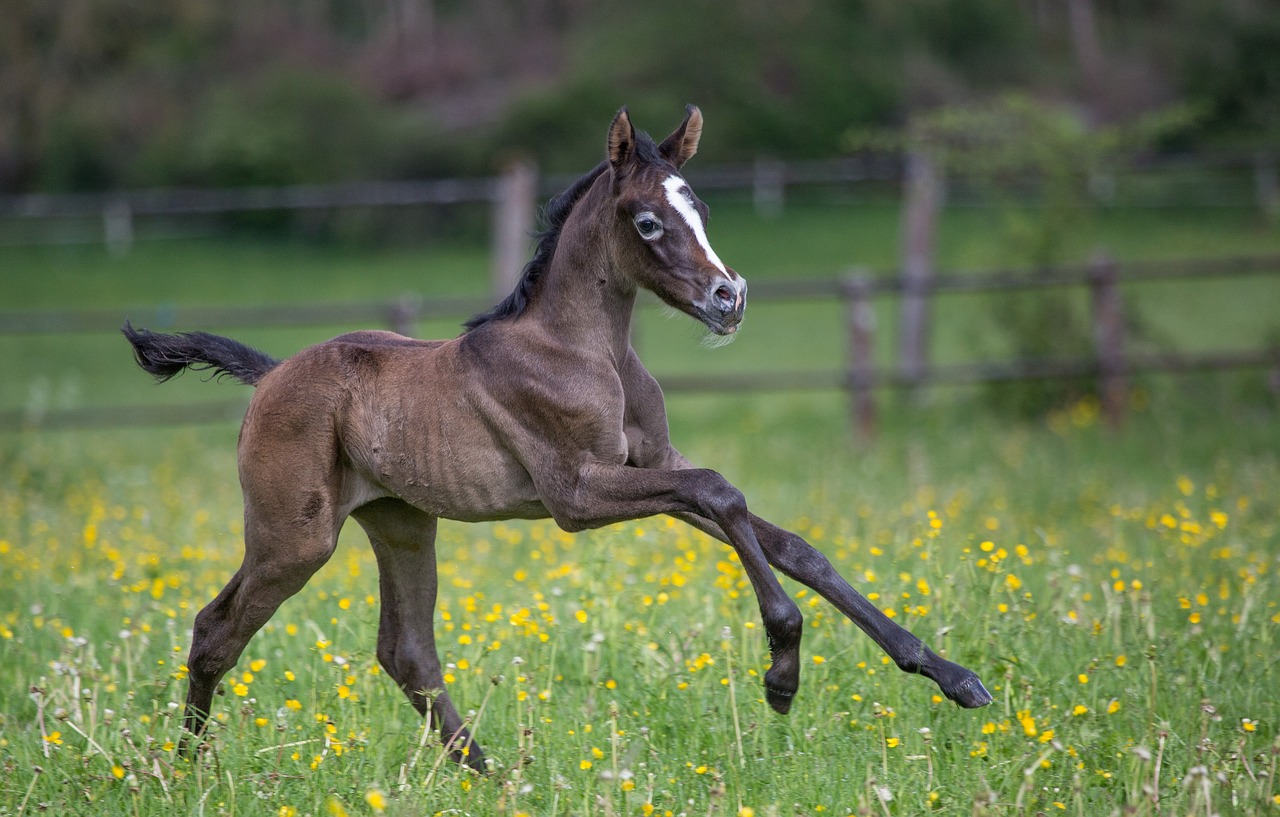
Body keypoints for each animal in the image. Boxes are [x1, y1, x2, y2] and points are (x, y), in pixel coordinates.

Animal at [124, 105, 993, 773]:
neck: (585, 350)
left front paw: (953, 676)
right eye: (649, 220)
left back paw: (492, 774)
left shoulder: (652, 467)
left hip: (400, 521)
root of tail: (271, 374)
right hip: (294, 534)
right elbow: (723, 490)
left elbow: (787, 540)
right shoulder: (578, 493)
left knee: (408, 651)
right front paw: (782, 671)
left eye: (703, 211)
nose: (730, 298)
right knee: (217, 628)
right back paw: (188, 766)